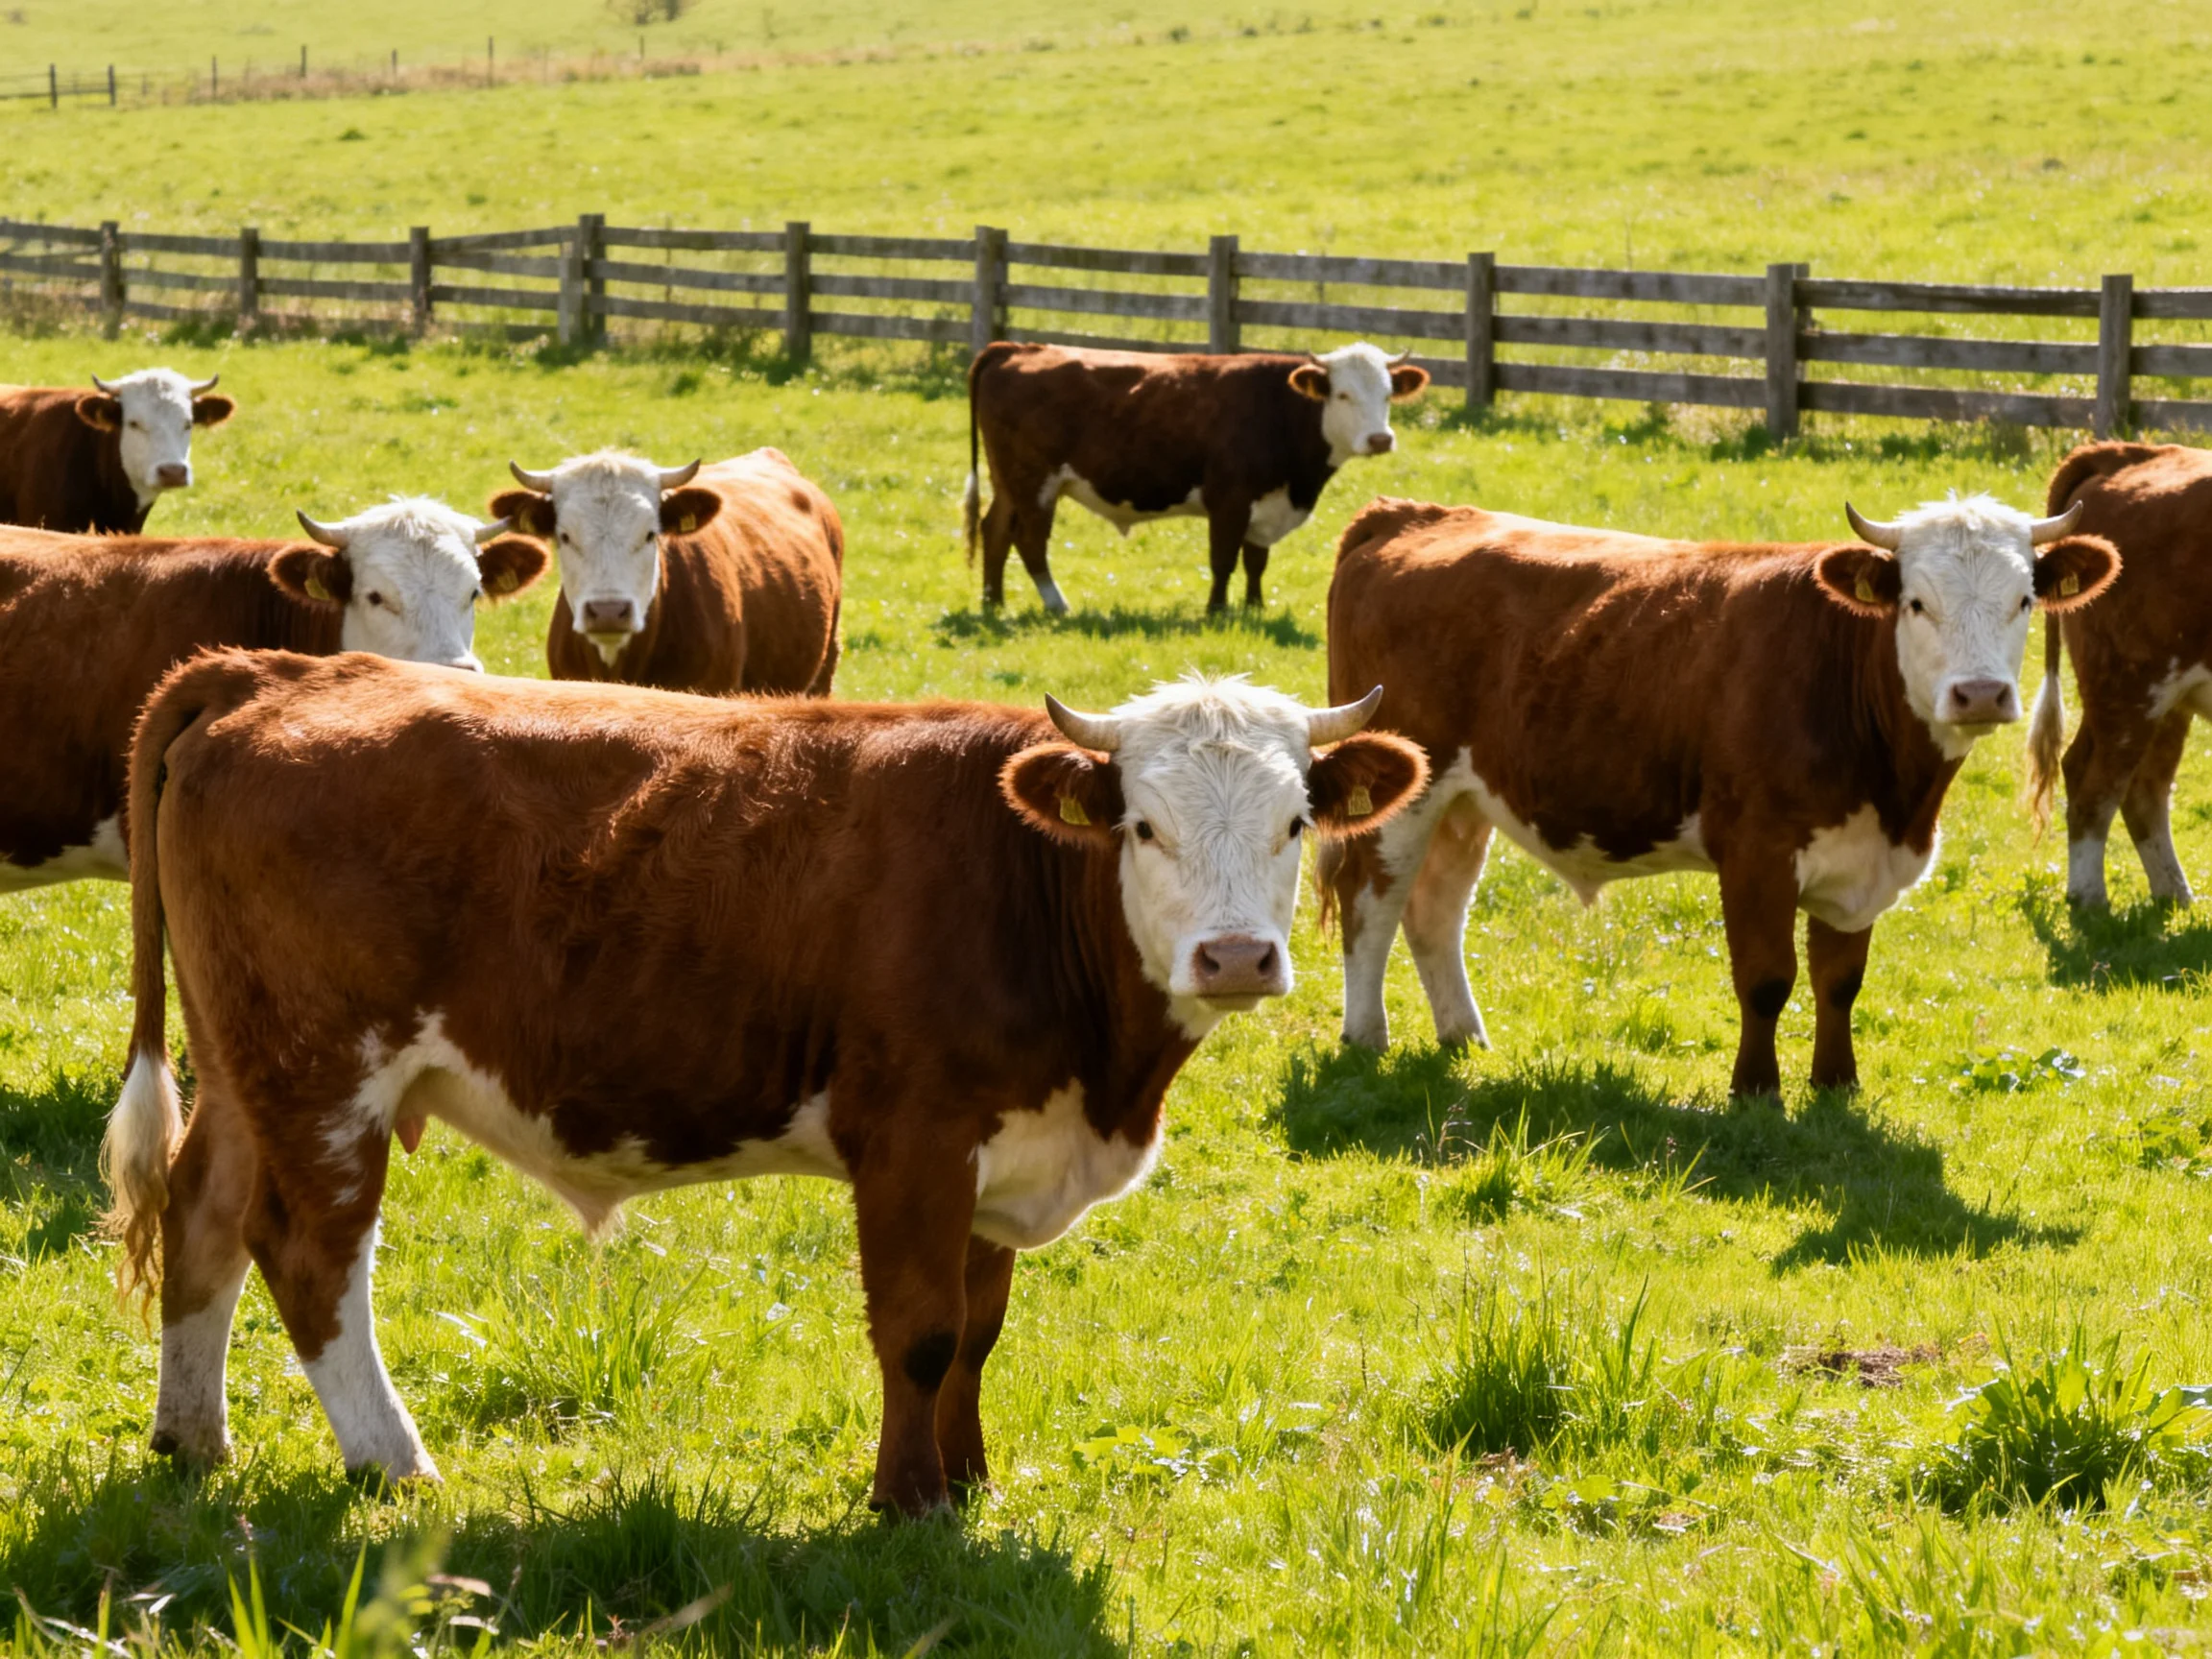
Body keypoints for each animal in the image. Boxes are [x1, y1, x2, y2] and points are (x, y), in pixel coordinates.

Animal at [102, 659, 1426, 1513]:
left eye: (1298, 820)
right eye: (1143, 827)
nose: (1237, 957)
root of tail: (283, 673)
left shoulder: (1002, 1148)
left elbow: (981, 1331)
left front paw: (971, 1481)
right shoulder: (914, 1139)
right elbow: (922, 1332)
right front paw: (908, 1502)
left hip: (245, 1064)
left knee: (203, 1213)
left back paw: (193, 1439)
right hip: (326, 1074)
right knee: (311, 1253)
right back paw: (393, 1463)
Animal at [962, 341, 1430, 616]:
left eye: (1388, 394)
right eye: (1343, 394)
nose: (1379, 438)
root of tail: (1019, 348)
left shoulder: (1266, 504)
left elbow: (1256, 560)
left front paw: (1255, 607)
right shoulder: (1229, 499)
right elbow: (1223, 560)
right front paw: (1217, 610)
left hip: (1008, 481)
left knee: (995, 530)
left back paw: (993, 603)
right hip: (1034, 481)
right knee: (1029, 540)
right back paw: (1056, 604)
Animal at [1319, 494, 2118, 1098]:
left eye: (2024, 600)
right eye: (1917, 604)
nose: (1980, 693)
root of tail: (1409, 514)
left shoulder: (1860, 861)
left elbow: (1840, 981)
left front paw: (1836, 1083)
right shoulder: (1756, 853)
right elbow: (1766, 979)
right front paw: (1755, 1089)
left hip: (1464, 800)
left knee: (1435, 909)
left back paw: (1464, 1036)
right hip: (1407, 793)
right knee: (1370, 904)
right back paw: (1366, 1037)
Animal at [2026, 442, 2212, 908]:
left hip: (2165, 697)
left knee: (2143, 788)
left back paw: (2176, 896)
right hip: (2131, 688)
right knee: (2095, 788)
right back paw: (2090, 899)